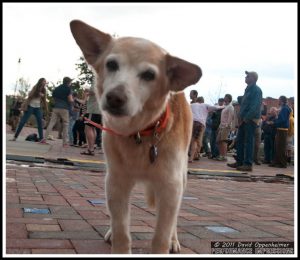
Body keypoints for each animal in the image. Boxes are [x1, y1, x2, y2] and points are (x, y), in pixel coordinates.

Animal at [70, 20, 202, 254]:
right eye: (112, 64)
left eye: (149, 75)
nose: (115, 97)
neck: (141, 132)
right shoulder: (116, 182)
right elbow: (122, 230)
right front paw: (118, 241)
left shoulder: (170, 187)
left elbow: (160, 236)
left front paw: (166, 242)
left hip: (182, 178)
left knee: (174, 219)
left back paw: (174, 240)